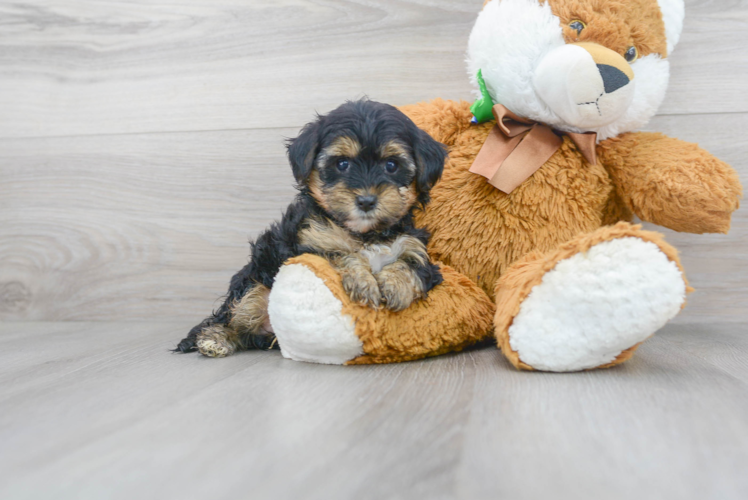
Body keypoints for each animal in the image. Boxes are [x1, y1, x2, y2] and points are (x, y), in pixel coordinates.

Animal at [175, 99, 444, 358]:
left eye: (391, 165)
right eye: (342, 164)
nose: (366, 201)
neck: (365, 234)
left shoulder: (417, 249)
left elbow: (411, 265)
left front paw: (394, 285)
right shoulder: (308, 246)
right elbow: (339, 254)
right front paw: (363, 282)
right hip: (254, 282)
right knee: (235, 318)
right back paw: (216, 339)